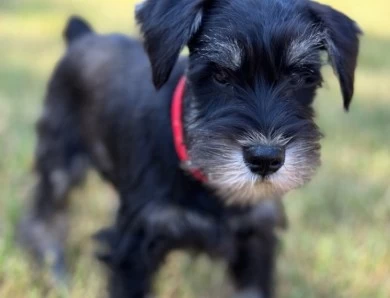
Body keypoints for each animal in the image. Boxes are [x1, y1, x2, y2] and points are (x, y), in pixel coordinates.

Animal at [19, 0, 360, 298]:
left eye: (301, 76)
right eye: (220, 74)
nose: (265, 159)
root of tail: (83, 35)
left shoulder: (256, 241)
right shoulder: (134, 249)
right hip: (59, 161)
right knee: (44, 216)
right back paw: (54, 270)